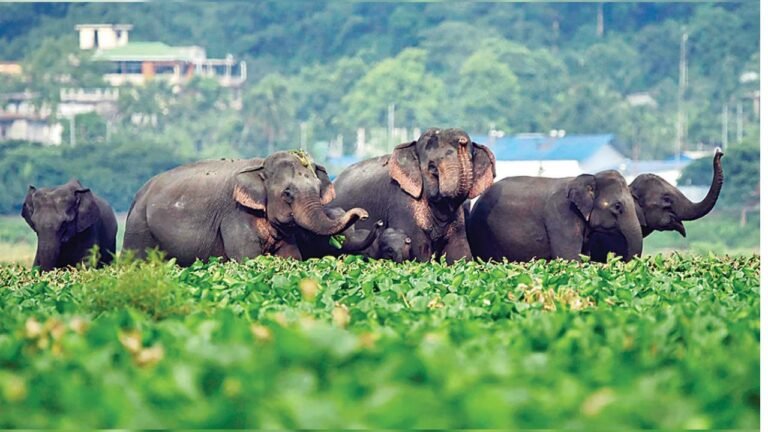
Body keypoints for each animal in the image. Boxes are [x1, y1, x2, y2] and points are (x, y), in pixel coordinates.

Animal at [123, 151, 368, 266]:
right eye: (287, 193)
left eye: (318, 189)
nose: (365, 214)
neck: (260, 166)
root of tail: (138, 194)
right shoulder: (234, 214)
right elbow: (247, 259)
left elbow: (290, 257)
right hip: (138, 226)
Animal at [331, 128, 496, 263]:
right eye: (432, 167)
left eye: (471, 159)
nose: (462, 140)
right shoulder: (402, 201)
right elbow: (419, 254)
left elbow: (460, 254)